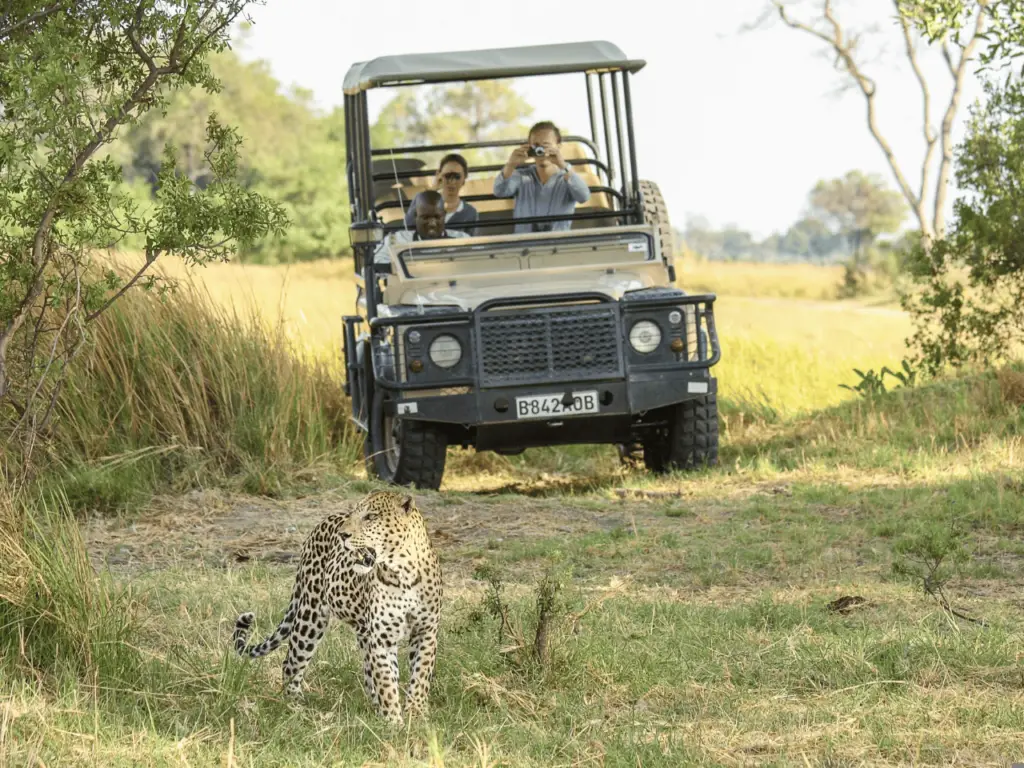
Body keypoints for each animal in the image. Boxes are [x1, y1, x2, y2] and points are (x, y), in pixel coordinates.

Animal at [234, 489, 442, 724]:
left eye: (371, 517)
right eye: (356, 514)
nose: (343, 535)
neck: (403, 572)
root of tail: (322, 523)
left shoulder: (426, 632)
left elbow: (420, 676)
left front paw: (416, 714)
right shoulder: (382, 637)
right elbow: (387, 682)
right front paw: (393, 721)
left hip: (361, 630)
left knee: (368, 673)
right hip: (311, 615)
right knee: (290, 663)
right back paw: (294, 706)